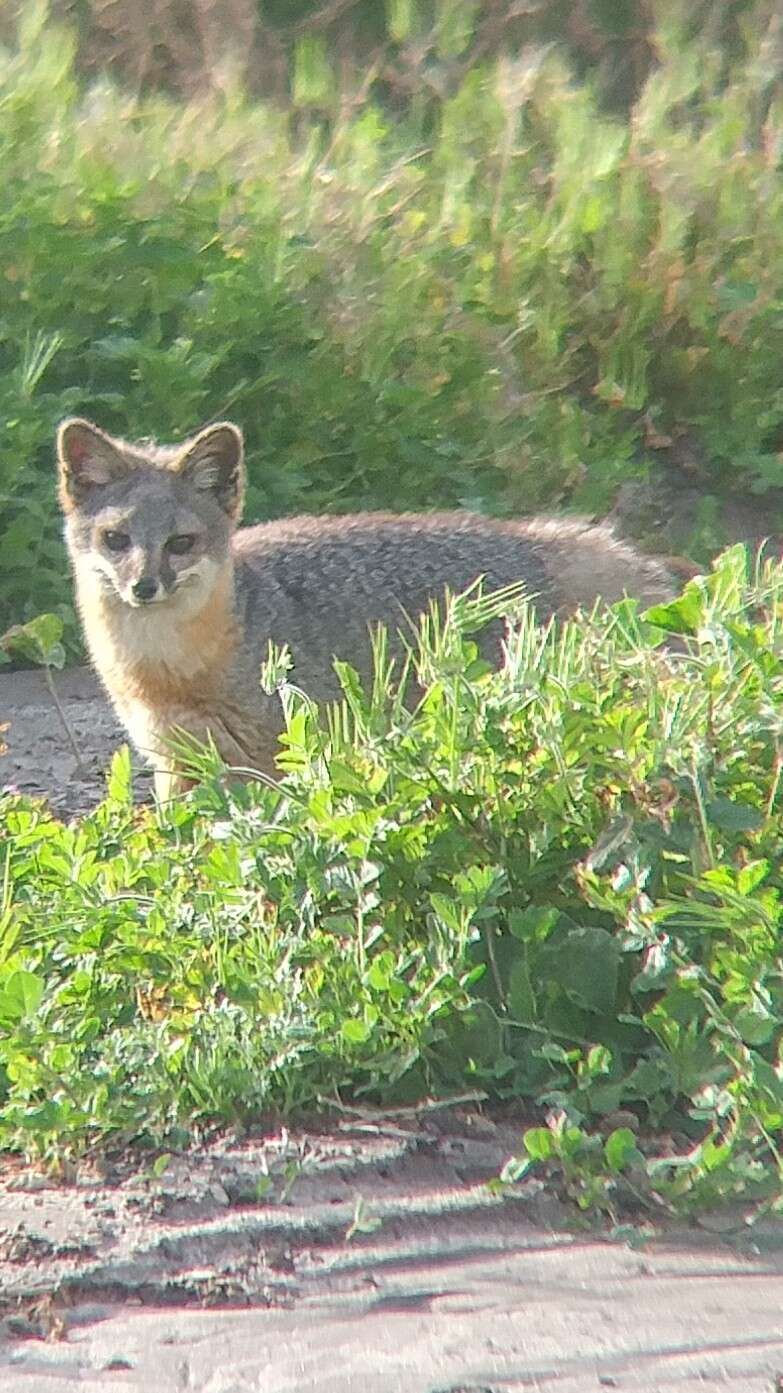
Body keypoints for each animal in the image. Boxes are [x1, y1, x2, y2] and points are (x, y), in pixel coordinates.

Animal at [57, 412, 674, 802]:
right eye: (116, 539)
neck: (166, 672)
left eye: (180, 543)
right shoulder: (175, 761)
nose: (144, 586)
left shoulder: (274, 760)